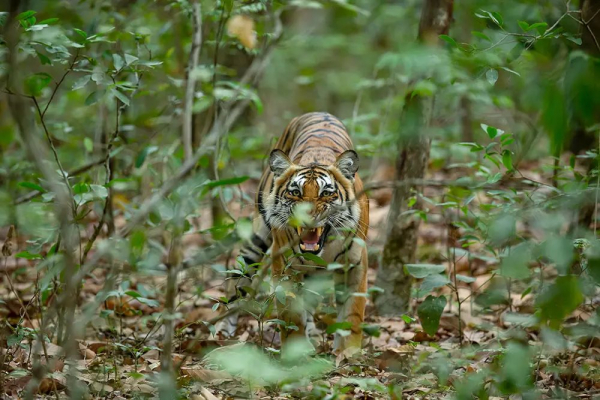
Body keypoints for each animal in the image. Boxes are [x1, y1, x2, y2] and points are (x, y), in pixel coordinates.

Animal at [218, 111, 368, 354]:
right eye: (295, 192)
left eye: (326, 193)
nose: (307, 216)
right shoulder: (284, 264)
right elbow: (291, 315)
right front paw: (295, 353)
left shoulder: (355, 264)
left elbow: (353, 315)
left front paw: (349, 352)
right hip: (256, 240)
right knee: (236, 282)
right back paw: (222, 330)